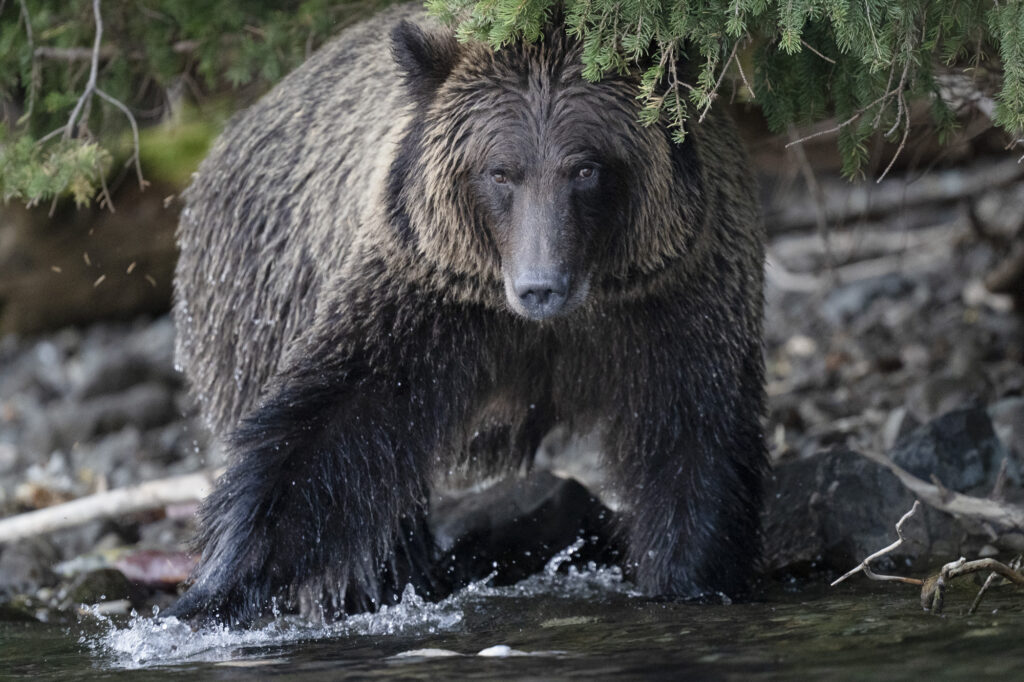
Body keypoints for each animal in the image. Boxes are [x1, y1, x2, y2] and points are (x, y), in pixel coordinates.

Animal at [167, 2, 767, 625]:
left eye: (585, 169)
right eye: (500, 171)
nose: (539, 287)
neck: (563, 317)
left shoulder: (671, 300)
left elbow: (692, 440)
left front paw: (691, 580)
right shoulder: (428, 295)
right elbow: (331, 424)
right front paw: (219, 585)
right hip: (258, 302)